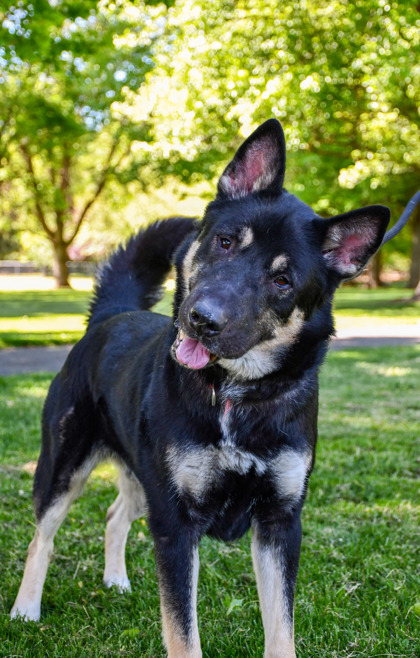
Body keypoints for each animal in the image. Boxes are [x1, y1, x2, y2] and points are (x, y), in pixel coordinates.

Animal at [12, 120, 394, 652]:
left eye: (282, 280)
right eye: (226, 242)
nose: (201, 319)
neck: (235, 396)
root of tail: (110, 315)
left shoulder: (280, 524)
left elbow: (281, 629)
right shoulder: (175, 524)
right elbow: (183, 633)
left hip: (141, 478)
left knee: (114, 515)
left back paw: (116, 580)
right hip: (64, 465)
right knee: (41, 537)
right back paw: (26, 609)